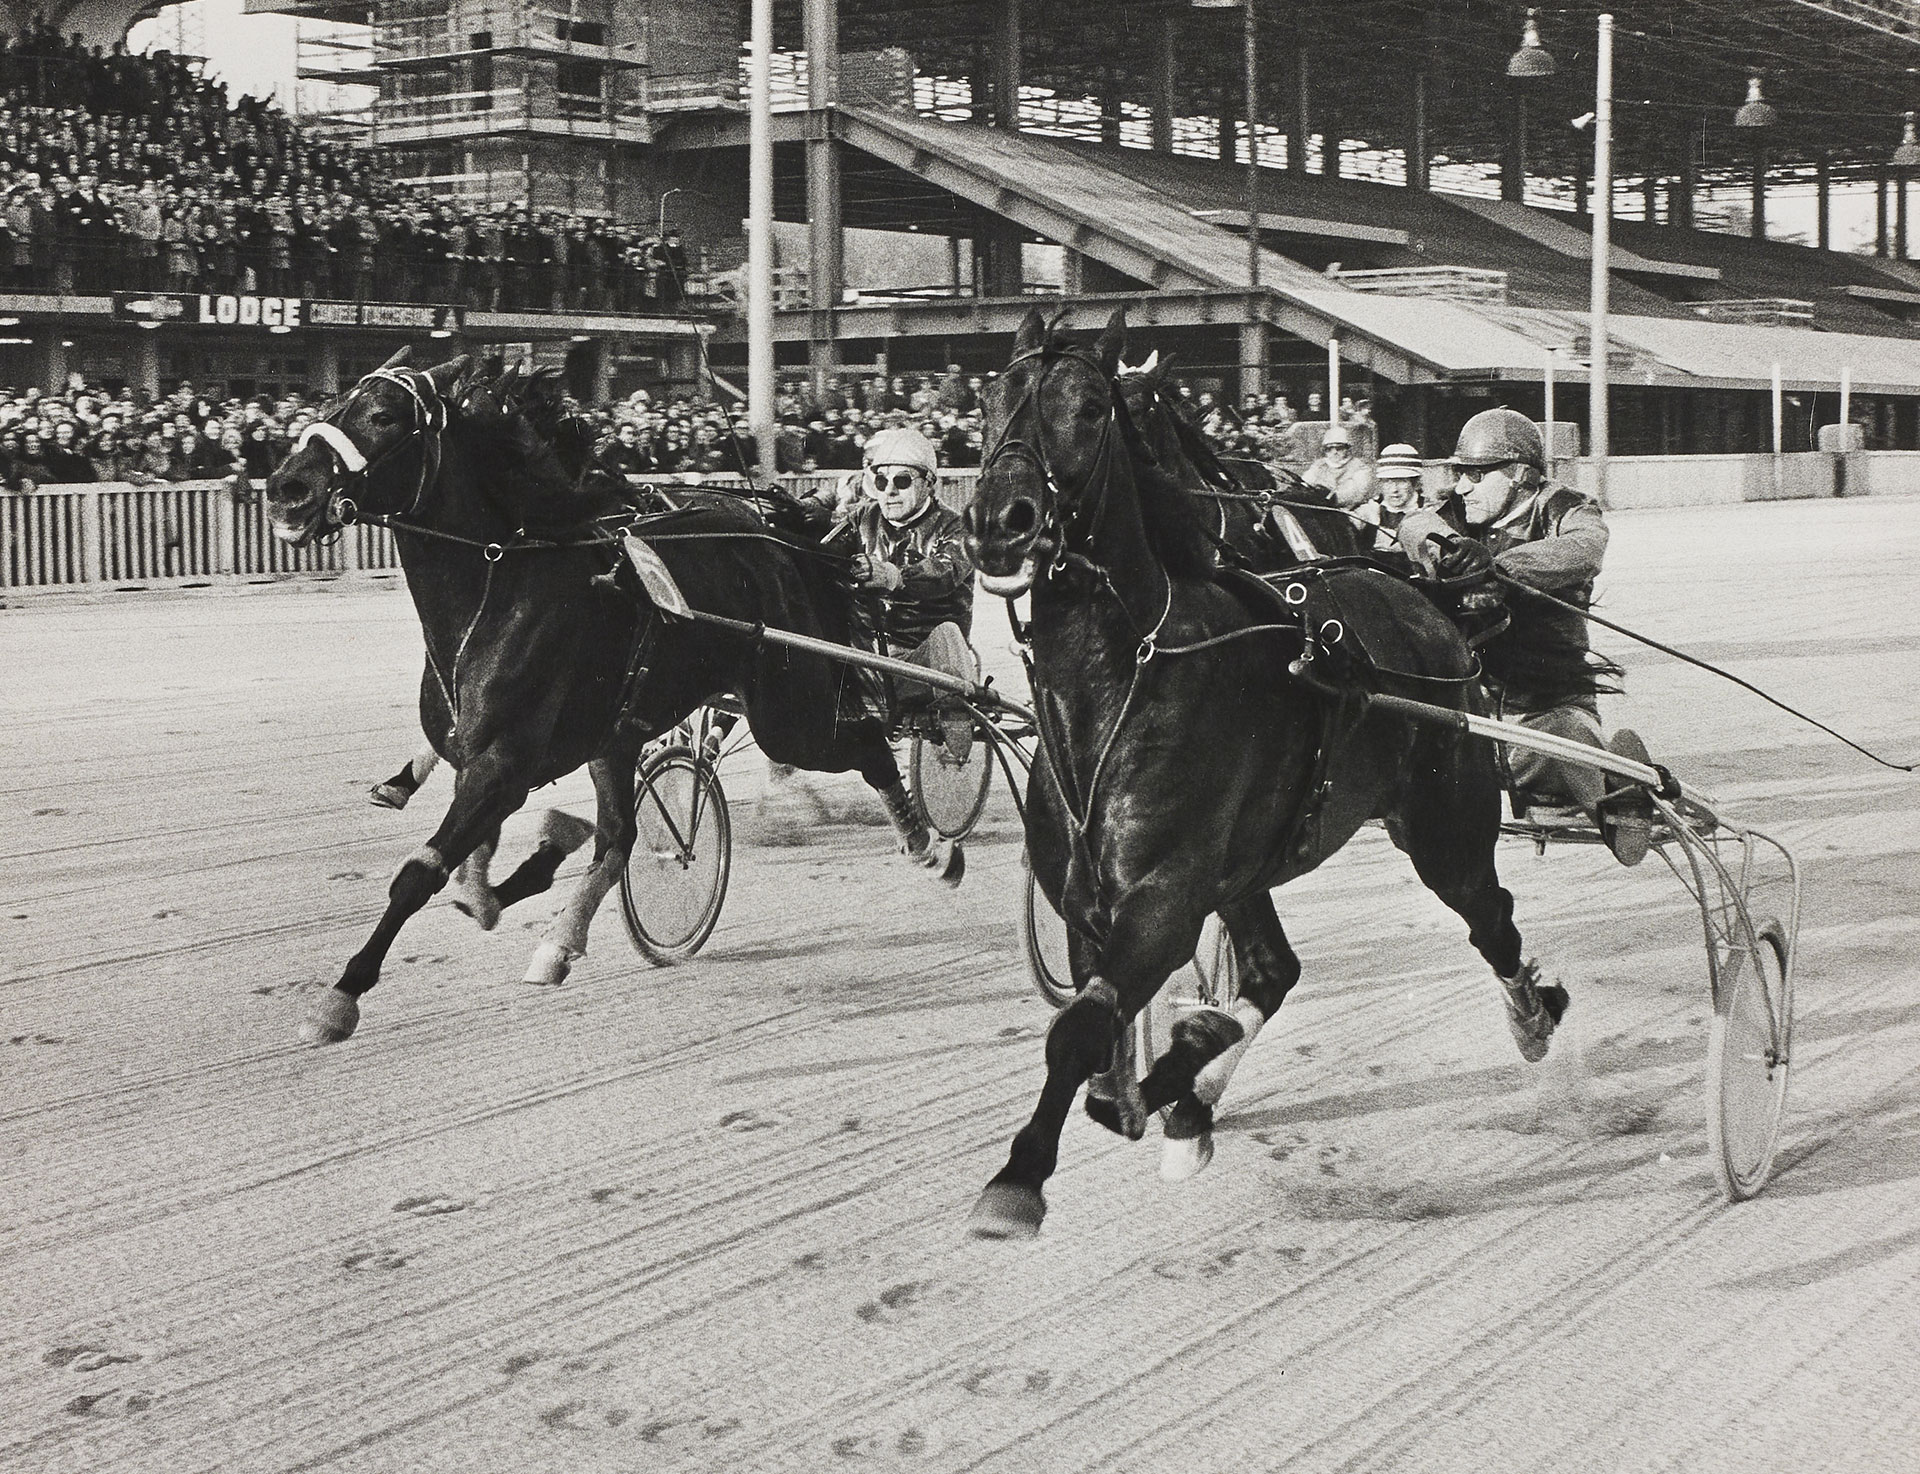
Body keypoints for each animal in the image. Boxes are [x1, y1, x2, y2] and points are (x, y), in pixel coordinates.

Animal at [263, 347, 967, 1044]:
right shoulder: (494, 757)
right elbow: (482, 870)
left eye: (383, 415)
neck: (503, 586)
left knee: (869, 747)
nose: (285, 490)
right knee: (619, 836)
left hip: (789, 714)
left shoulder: (504, 763)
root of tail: (783, 543)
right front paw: (523, 865)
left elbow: (422, 873)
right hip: (624, 734)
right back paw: (557, 933)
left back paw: (931, 845)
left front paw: (339, 997)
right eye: (331, 405)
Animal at [960, 314, 1559, 1243]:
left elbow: (1081, 1033)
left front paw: (1018, 1179)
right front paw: (1164, 1084)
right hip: (1248, 871)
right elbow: (1099, 1047)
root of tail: (1429, 604)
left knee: (1489, 917)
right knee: (1277, 970)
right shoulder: (1090, 906)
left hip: (1446, 827)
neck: (1120, 686)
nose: (1000, 520)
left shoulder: (1165, 902)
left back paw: (1534, 1012)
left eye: (1092, 407)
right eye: (989, 399)